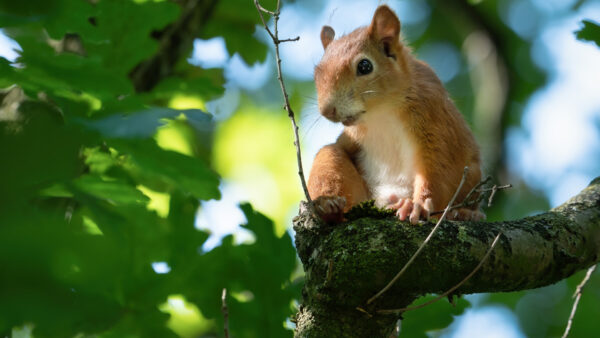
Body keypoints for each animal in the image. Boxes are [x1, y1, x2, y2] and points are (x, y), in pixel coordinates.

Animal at [308, 5, 486, 224]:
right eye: (317, 73)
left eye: (365, 66)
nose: (327, 110)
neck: (382, 113)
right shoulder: (351, 138)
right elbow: (332, 156)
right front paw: (326, 202)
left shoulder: (435, 121)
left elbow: (438, 169)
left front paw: (417, 206)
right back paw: (332, 208)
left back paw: (464, 213)